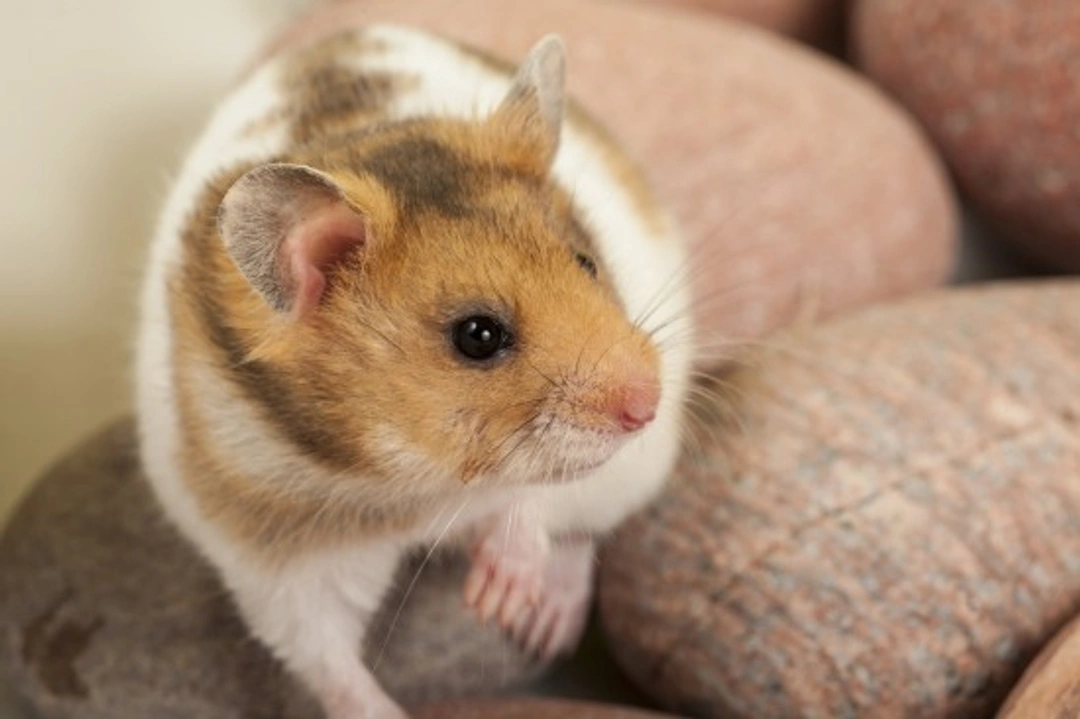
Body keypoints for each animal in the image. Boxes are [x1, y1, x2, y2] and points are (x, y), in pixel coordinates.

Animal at [136, 23, 692, 719]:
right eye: (478, 336)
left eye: (587, 263)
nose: (648, 404)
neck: (414, 485)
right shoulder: (277, 567)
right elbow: (326, 661)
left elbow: (531, 498)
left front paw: (497, 601)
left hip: (634, 471)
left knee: (583, 533)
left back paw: (541, 625)